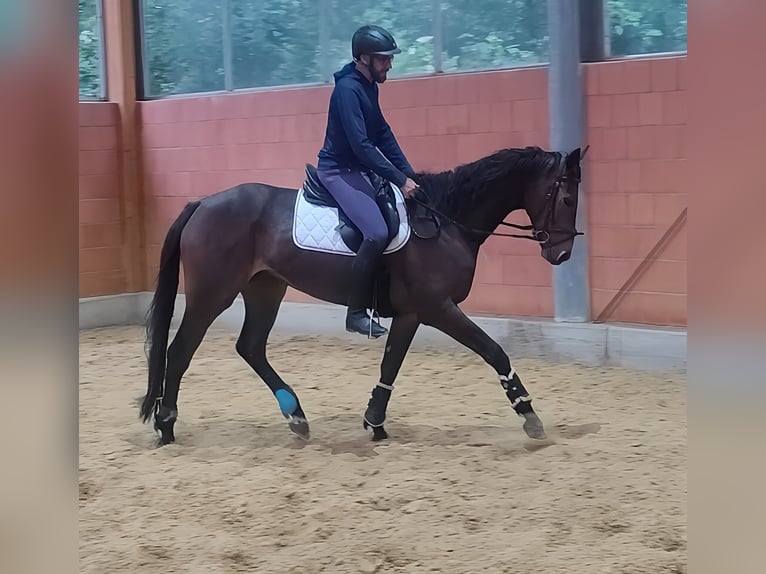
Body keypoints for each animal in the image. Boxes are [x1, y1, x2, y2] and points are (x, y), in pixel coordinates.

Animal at [138, 144, 584, 446]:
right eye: (565, 197)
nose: (562, 253)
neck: (445, 221)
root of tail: (202, 204)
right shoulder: (439, 308)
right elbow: (494, 352)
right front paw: (528, 414)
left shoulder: (412, 313)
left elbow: (391, 365)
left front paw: (375, 420)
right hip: (212, 294)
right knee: (180, 351)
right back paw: (167, 424)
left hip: (266, 288)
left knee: (250, 347)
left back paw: (296, 417)